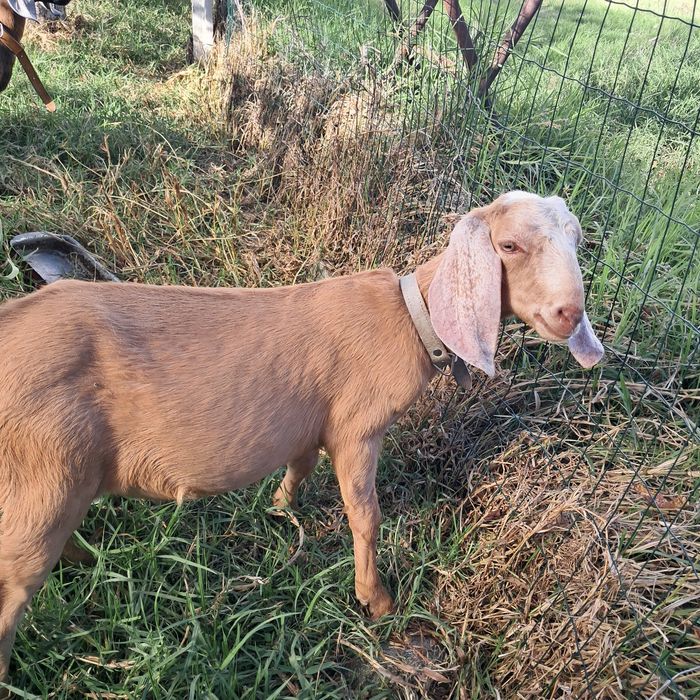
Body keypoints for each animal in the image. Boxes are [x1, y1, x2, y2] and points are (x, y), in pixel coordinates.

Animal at [0, 191, 604, 685]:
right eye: (509, 244)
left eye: (576, 239)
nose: (569, 313)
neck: (412, 318)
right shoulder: (358, 428)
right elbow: (365, 514)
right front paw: (376, 601)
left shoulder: (314, 424)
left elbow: (300, 465)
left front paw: (280, 508)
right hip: (44, 472)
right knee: (14, 582)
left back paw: (86, 556)